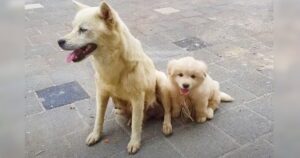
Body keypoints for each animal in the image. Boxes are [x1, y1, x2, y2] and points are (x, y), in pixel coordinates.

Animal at [57, 0, 172, 154]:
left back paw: (166, 125)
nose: (59, 41)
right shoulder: (102, 94)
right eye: (73, 28)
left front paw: (134, 142)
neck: (111, 62)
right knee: (138, 115)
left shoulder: (137, 97)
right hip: (117, 103)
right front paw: (96, 135)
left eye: (83, 29)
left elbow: (136, 125)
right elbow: (99, 118)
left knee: (166, 111)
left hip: (160, 83)